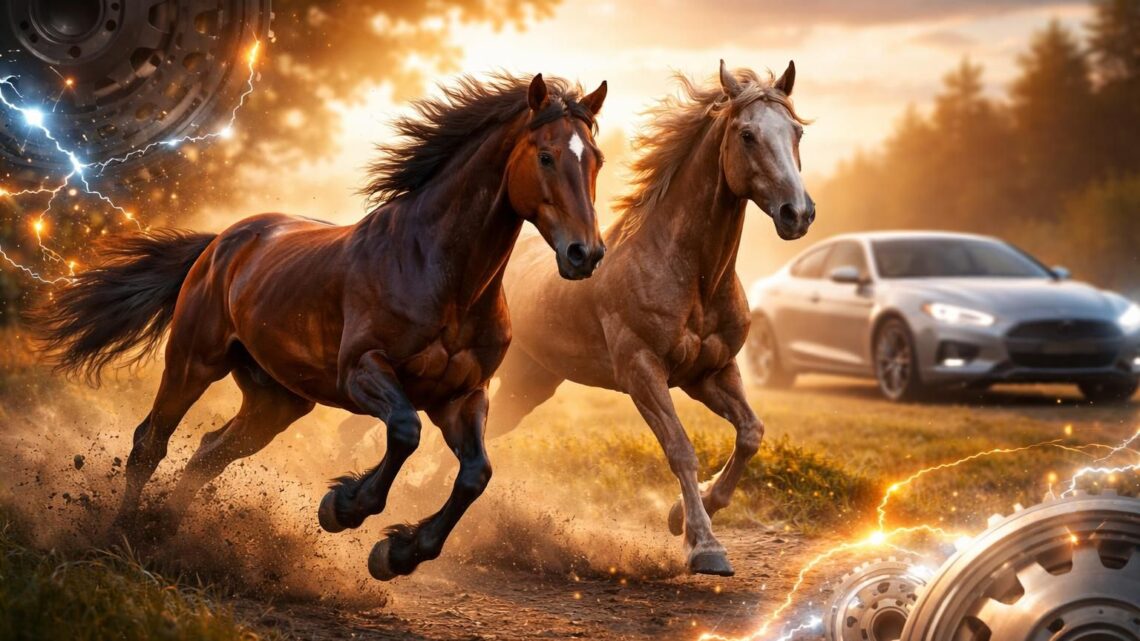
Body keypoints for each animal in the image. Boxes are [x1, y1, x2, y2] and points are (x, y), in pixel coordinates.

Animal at [30, 72, 609, 580]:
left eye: (596, 160)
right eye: (546, 156)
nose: (585, 254)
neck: (441, 275)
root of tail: (223, 241)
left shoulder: (463, 396)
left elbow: (475, 475)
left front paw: (397, 554)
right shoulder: (363, 372)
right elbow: (405, 431)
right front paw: (343, 506)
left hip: (277, 400)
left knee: (211, 453)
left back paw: (163, 532)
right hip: (194, 362)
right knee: (150, 443)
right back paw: (121, 537)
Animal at [484, 61, 814, 576]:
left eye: (796, 132)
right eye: (747, 135)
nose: (797, 213)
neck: (691, 275)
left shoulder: (711, 373)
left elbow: (750, 434)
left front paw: (683, 515)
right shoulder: (642, 372)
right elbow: (680, 449)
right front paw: (704, 545)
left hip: (527, 386)